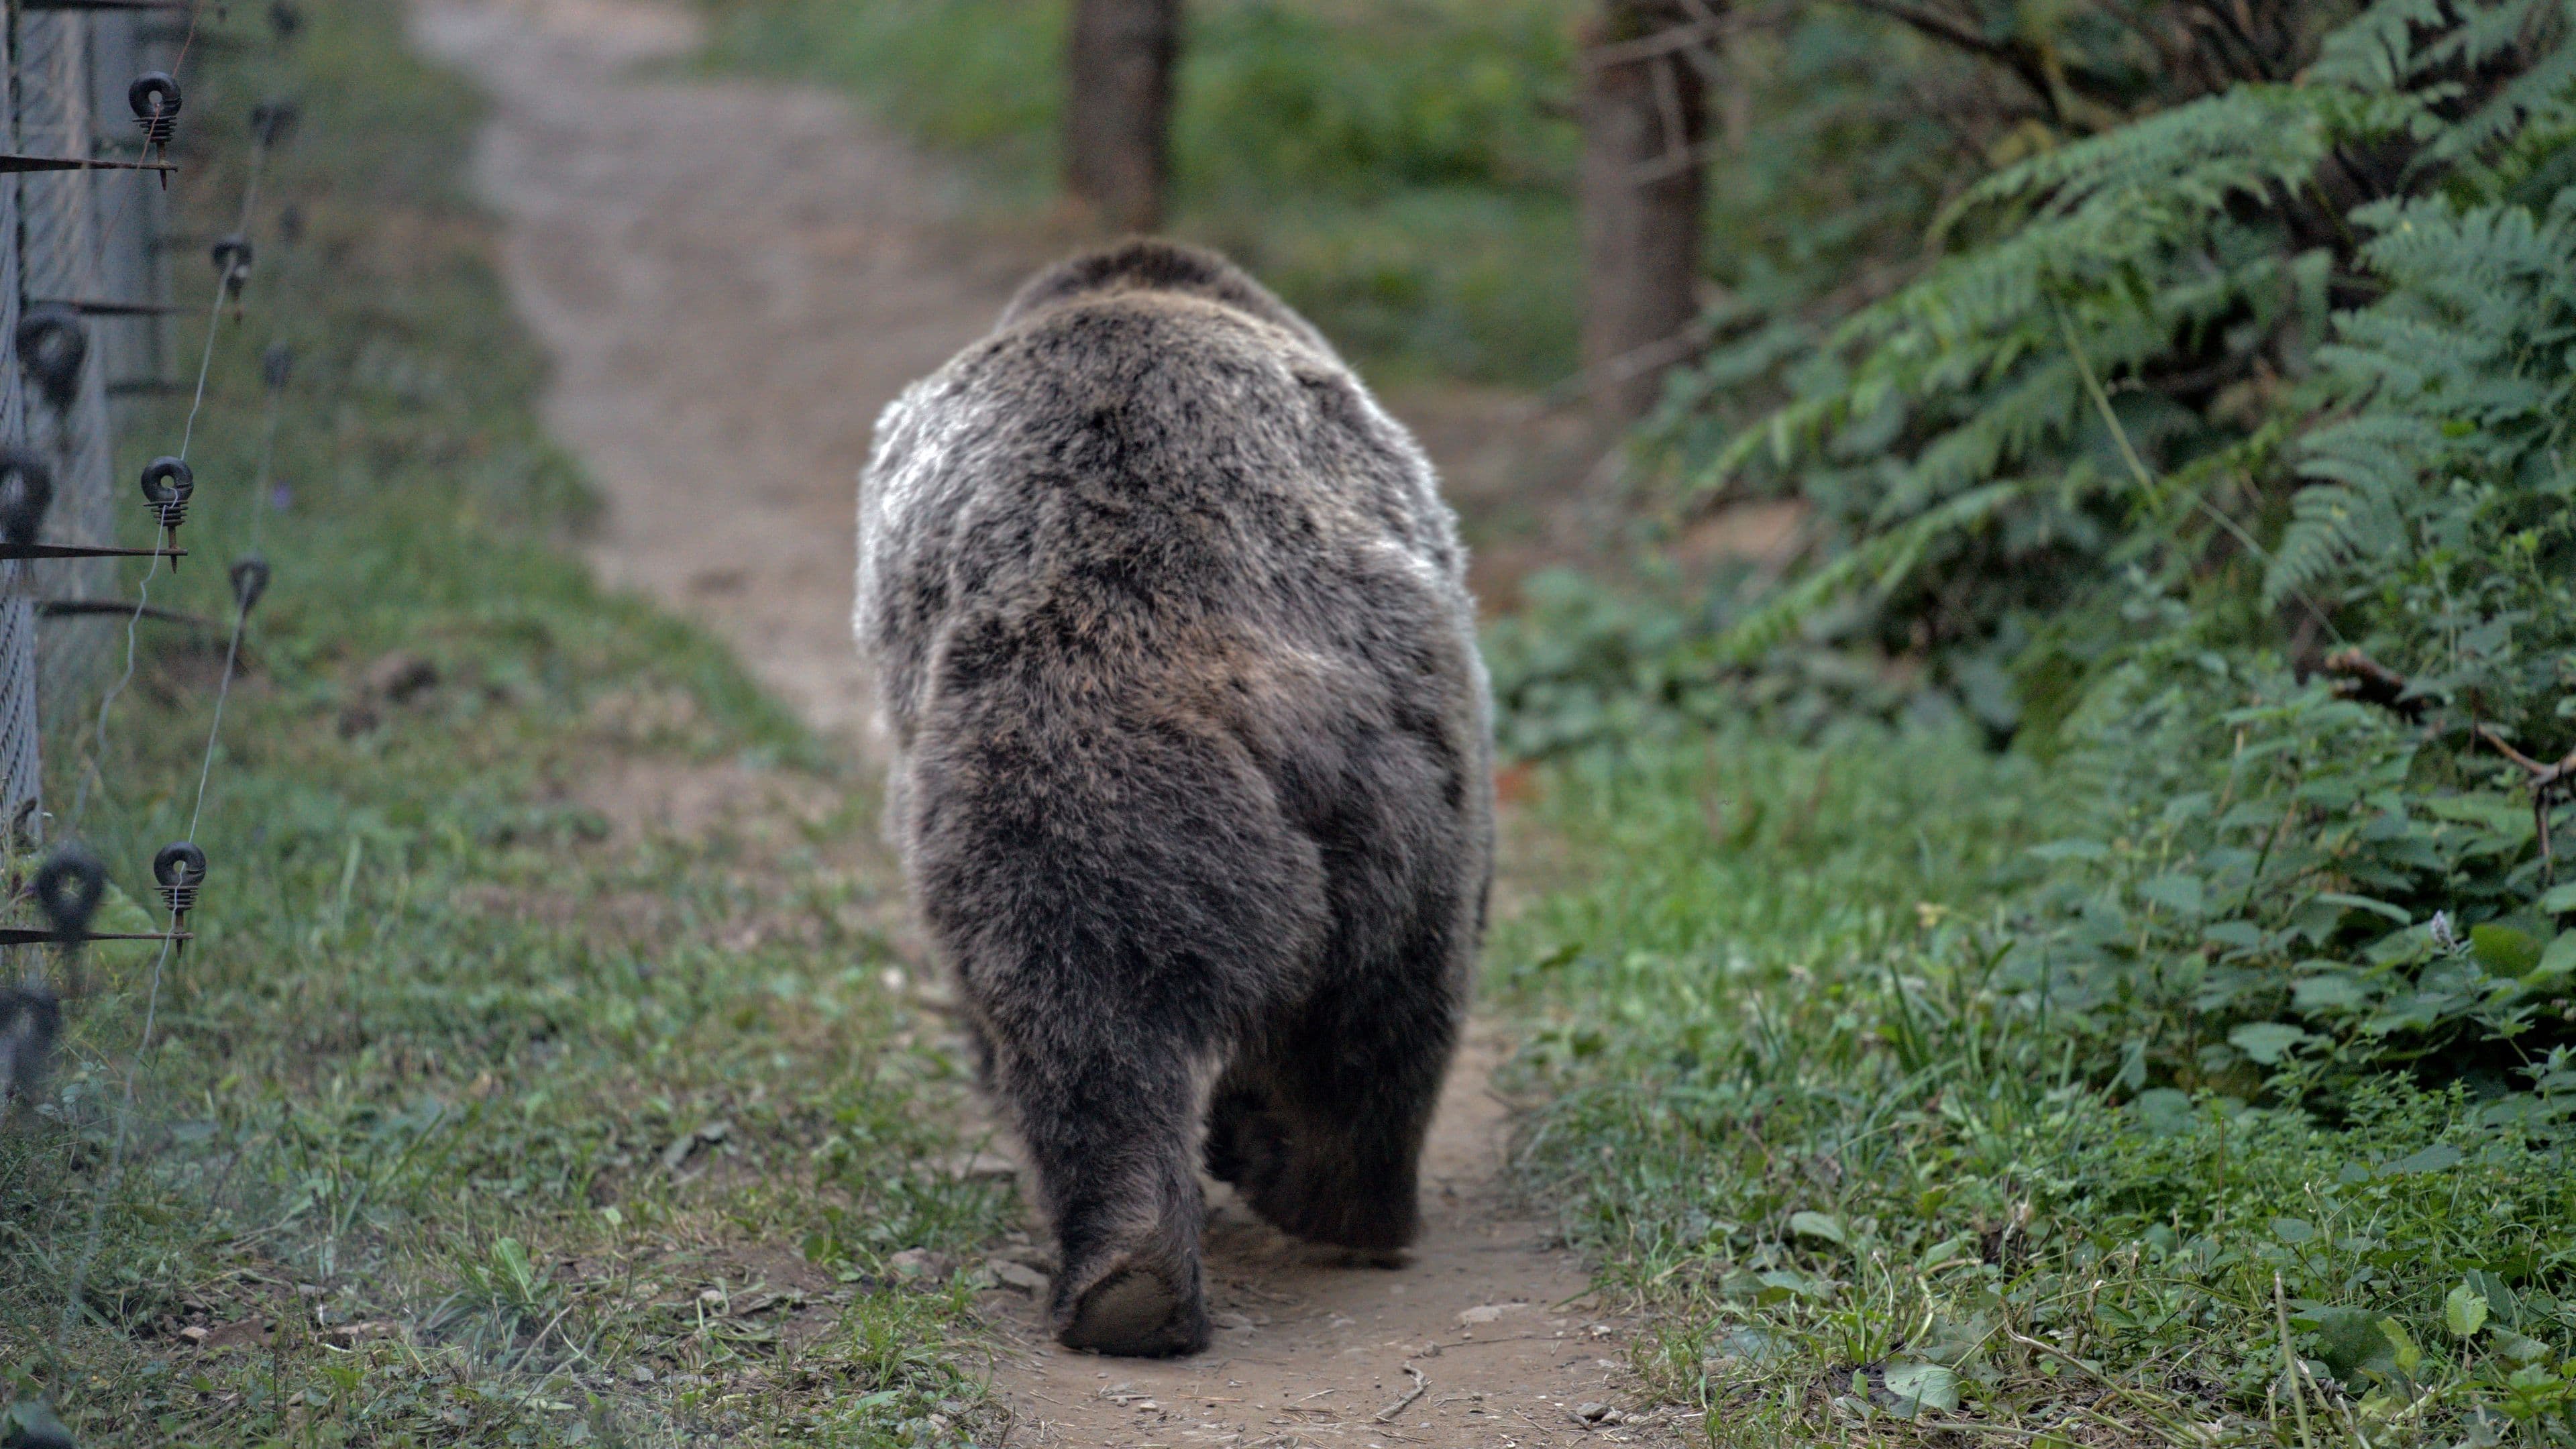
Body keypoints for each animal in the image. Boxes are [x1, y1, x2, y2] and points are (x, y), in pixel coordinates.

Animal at [855, 239, 1493, 1356]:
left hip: (1098, 778)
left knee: (1108, 1019)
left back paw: (1199, 1240)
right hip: (1383, 786)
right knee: (1375, 1004)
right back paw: (1252, 1224)